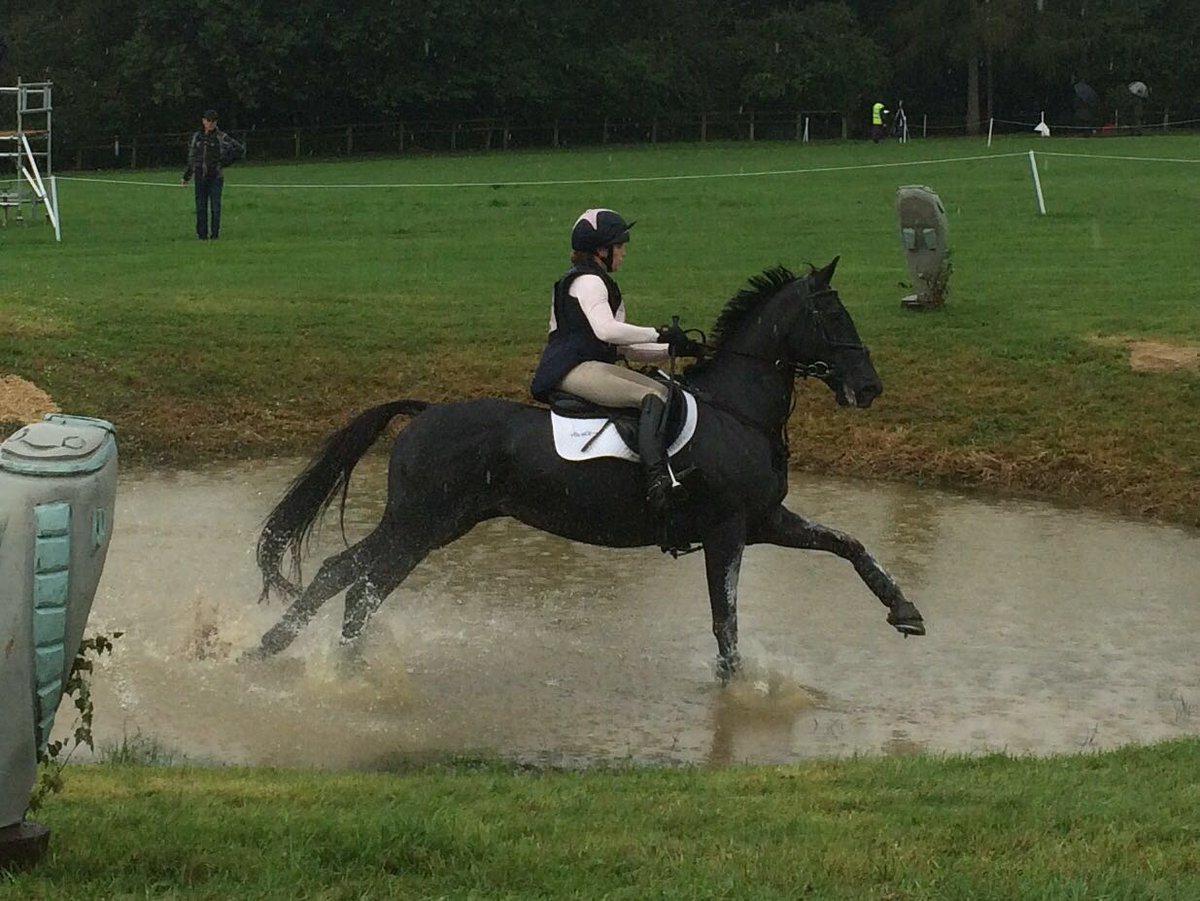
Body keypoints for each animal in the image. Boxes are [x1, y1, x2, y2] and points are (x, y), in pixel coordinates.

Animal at [249, 258, 925, 677]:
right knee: (357, 582)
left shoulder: (763, 520)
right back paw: (321, 664)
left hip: (433, 524)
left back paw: (294, 653)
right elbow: (726, 622)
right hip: (421, 524)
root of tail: (423, 412)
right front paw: (737, 691)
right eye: (833, 317)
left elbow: (848, 544)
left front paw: (905, 610)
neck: (738, 410)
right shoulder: (728, 531)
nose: (869, 387)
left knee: (349, 577)